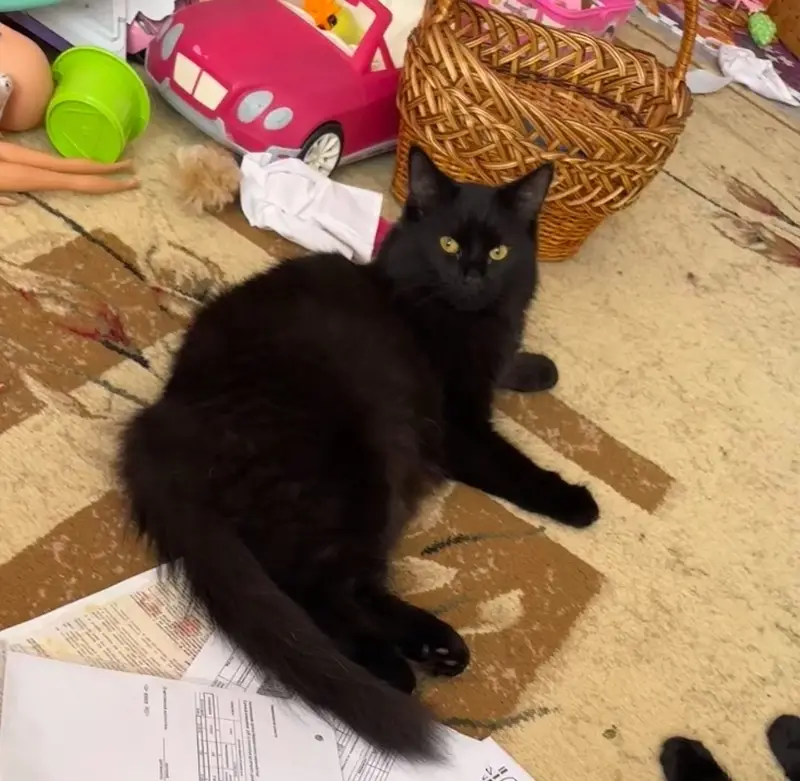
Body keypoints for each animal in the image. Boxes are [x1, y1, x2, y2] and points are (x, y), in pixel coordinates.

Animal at [118, 147, 599, 760]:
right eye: (448, 244)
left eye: (499, 252)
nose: (472, 275)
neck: (460, 317)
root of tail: (162, 416)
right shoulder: (461, 428)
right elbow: (514, 467)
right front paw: (575, 502)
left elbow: (508, 362)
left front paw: (539, 368)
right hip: (358, 472)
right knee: (314, 589)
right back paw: (392, 671)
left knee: (354, 585)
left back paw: (438, 645)